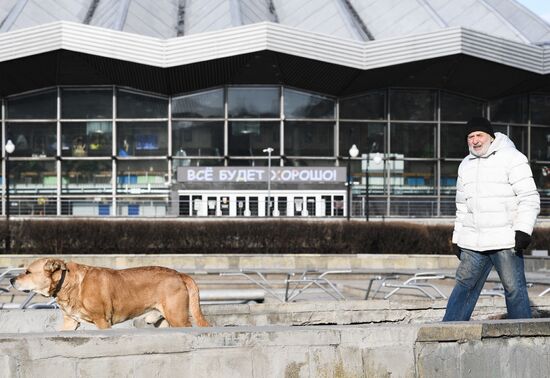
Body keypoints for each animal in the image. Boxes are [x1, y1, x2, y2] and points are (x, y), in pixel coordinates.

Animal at [10, 258, 209, 330]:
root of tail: (179, 273)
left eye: (27, 272)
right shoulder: (70, 321)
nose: (11, 280)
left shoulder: (102, 321)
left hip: (178, 318)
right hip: (163, 320)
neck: (69, 283)